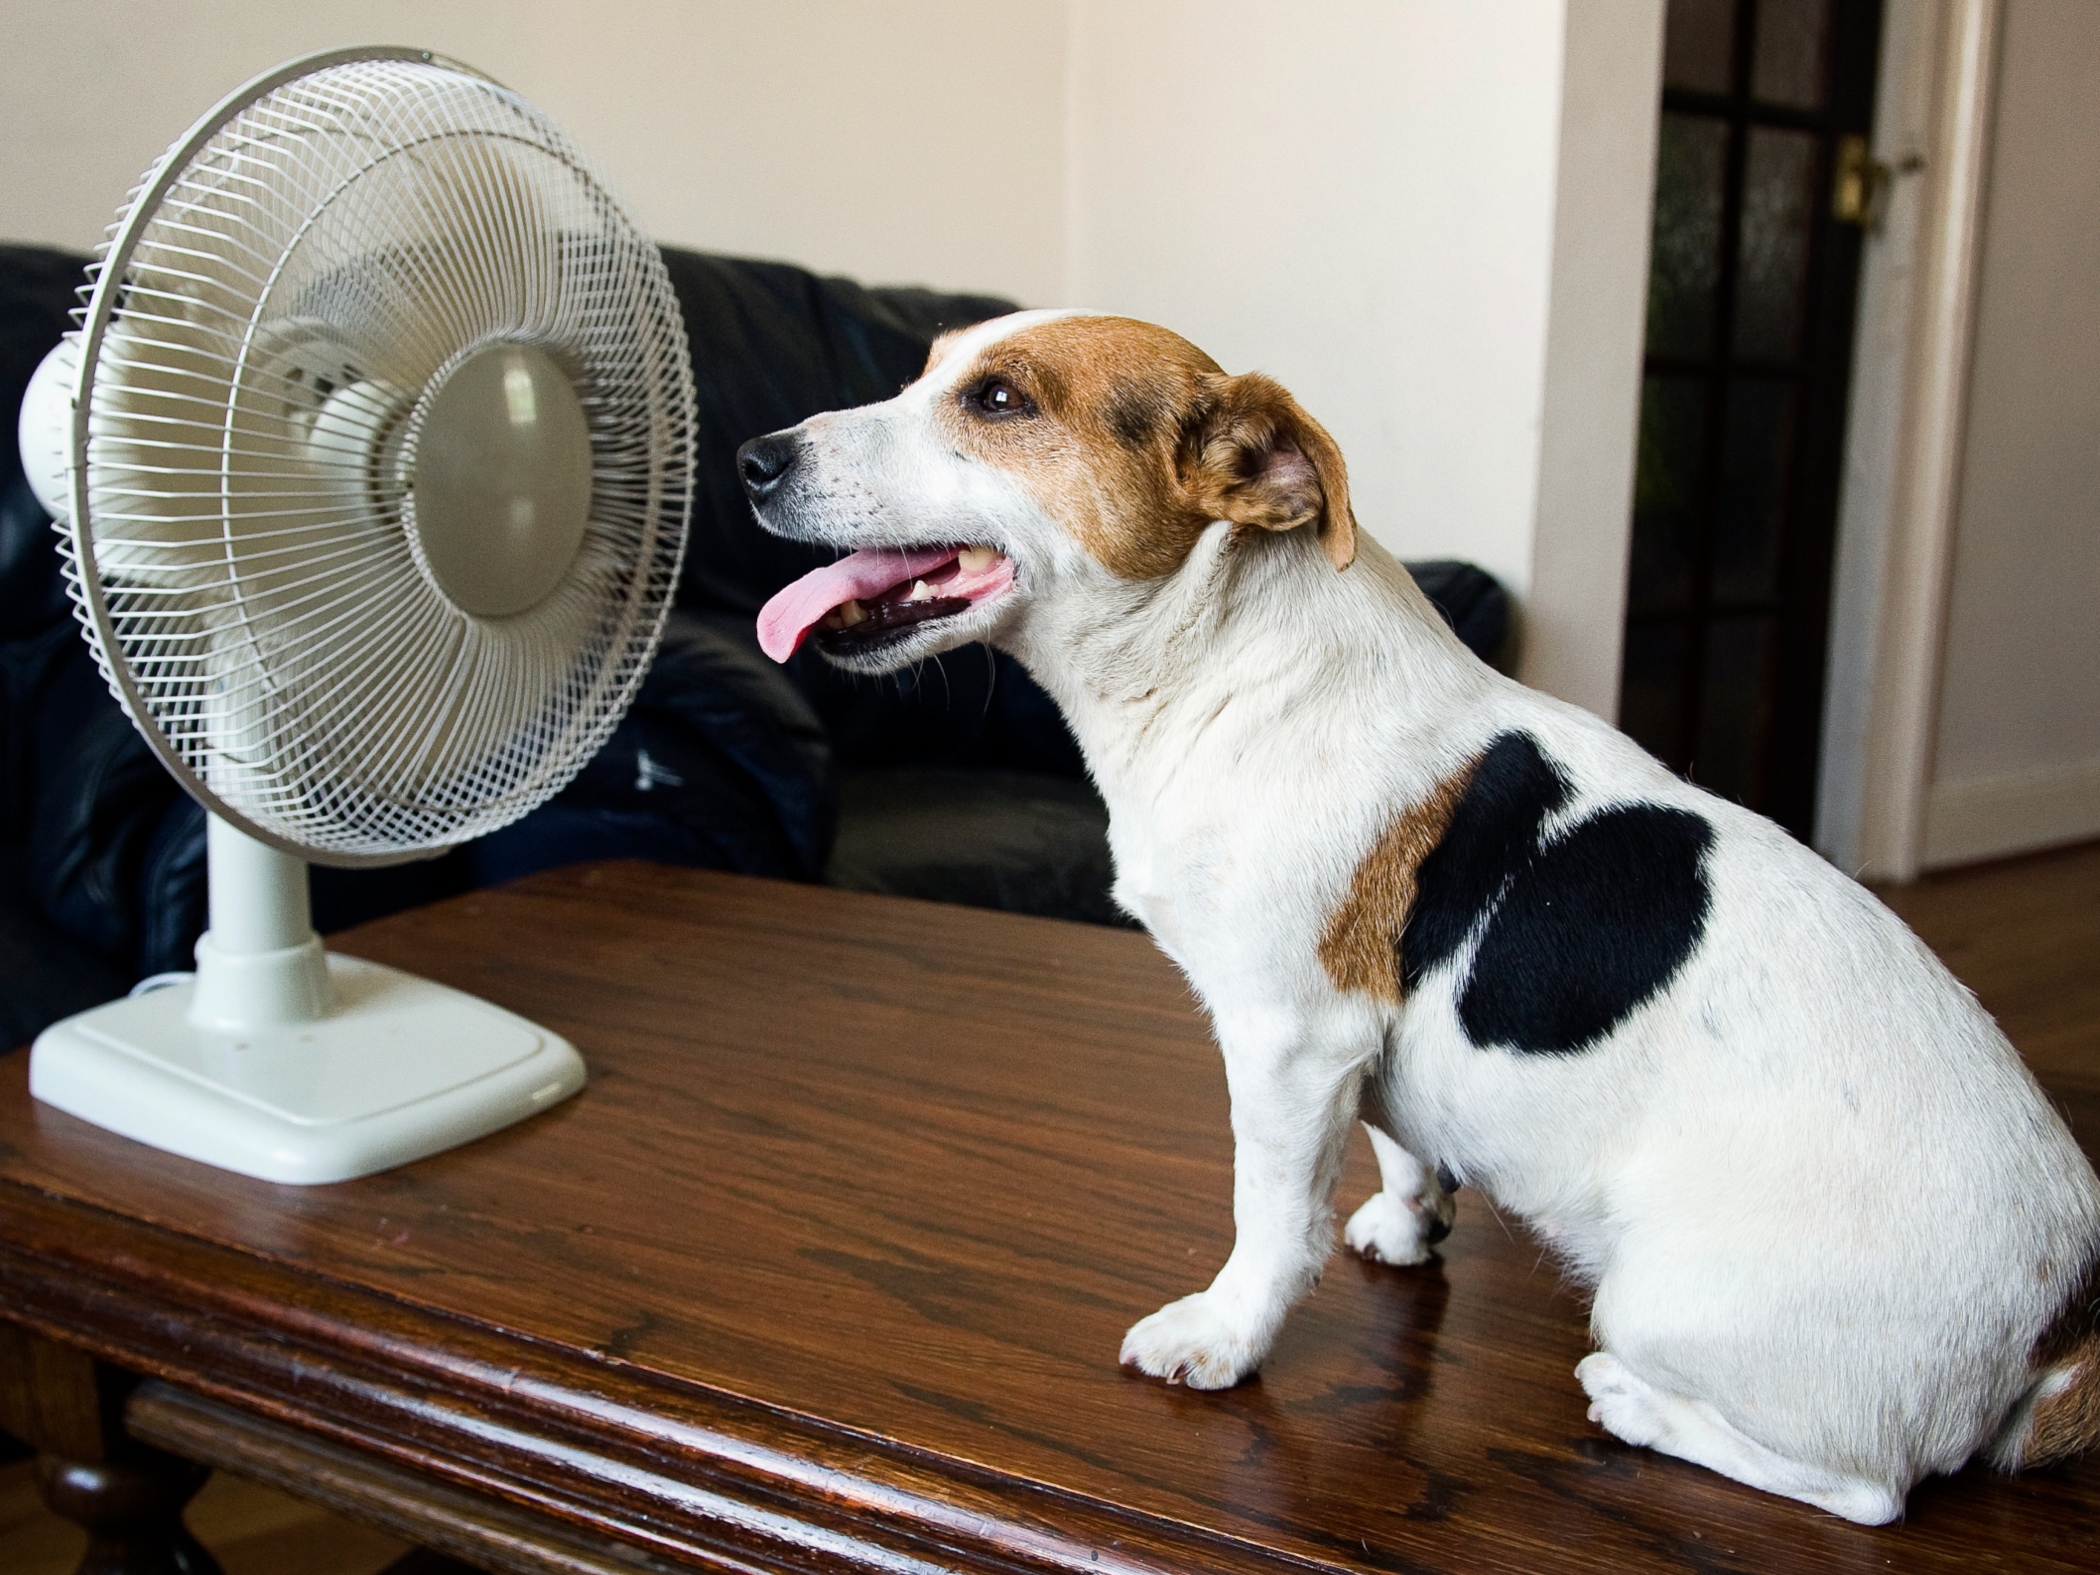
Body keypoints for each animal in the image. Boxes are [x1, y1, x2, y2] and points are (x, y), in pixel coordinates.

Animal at [734, 310, 2100, 1528]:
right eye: (924, 370)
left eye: (1000, 401)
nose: (753, 457)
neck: (1225, 661)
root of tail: (2066, 1316)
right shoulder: (1363, 1045)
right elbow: (1404, 1134)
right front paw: (1410, 1220)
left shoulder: (1287, 1042)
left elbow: (1270, 1222)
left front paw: (1224, 1337)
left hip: (1666, 1304)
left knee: (1865, 1492)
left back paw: (1640, 1407)